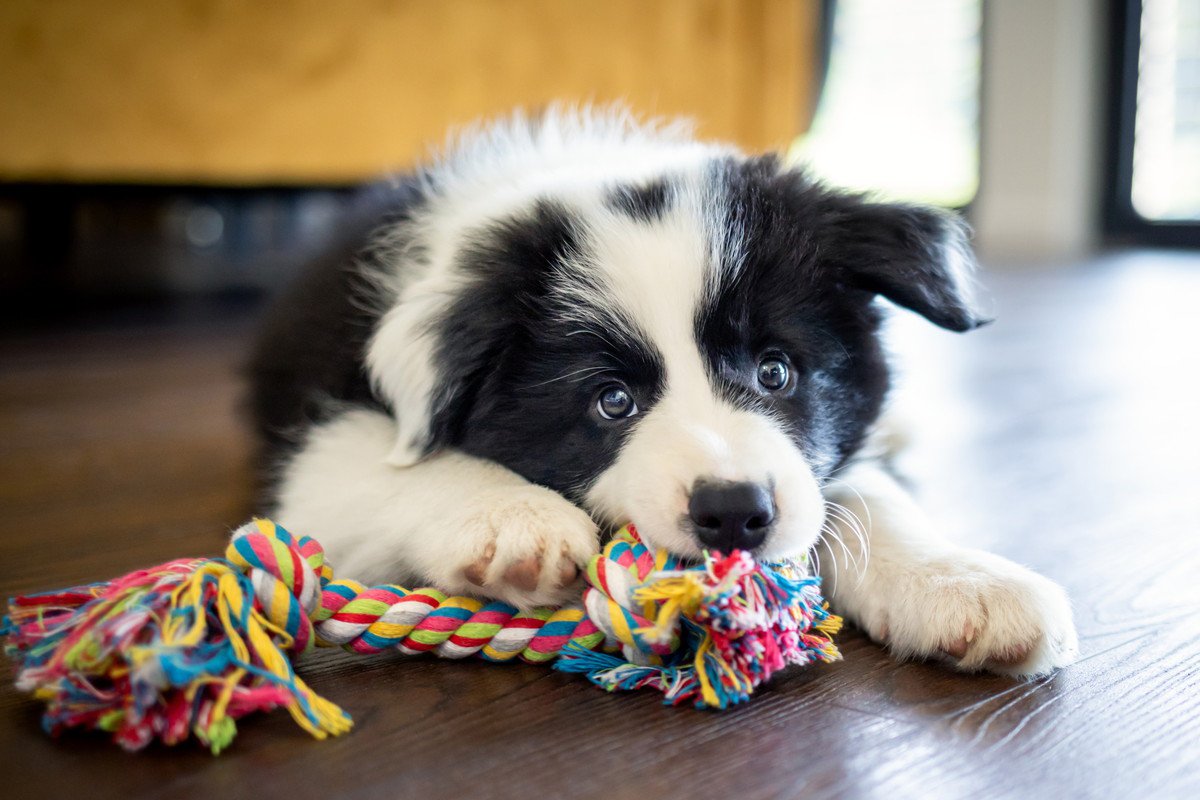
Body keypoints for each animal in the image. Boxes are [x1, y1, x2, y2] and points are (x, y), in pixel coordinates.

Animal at [250, 109, 1080, 681]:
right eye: (611, 401)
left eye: (775, 371)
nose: (735, 513)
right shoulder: (320, 440)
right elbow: (388, 463)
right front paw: (511, 520)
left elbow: (859, 495)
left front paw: (965, 583)